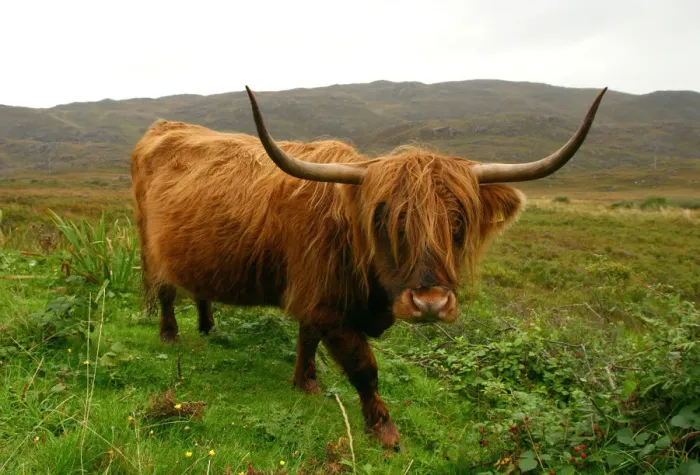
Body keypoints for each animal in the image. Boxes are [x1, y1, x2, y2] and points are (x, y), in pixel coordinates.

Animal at [130, 86, 607, 448]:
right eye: (385, 221)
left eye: (457, 224)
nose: (430, 304)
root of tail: (162, 128)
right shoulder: (328, 305)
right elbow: (364, 367)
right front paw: (384, 430)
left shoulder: (317, 298)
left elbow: (307, 339)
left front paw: (306, 383)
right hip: (149, 244)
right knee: (165, 289)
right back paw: (170, 334)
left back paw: (208, 326)